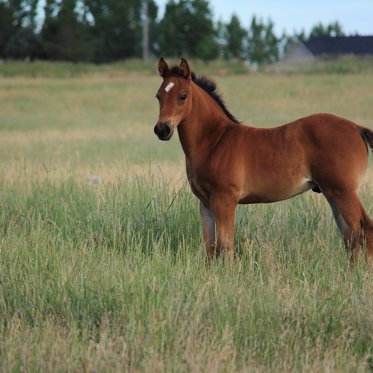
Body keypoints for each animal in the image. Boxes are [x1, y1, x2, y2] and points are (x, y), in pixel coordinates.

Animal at [152, 56, 372, 264]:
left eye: (183, 96)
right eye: (158, 96)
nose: (162, 129)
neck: (214, 141)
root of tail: (356, 128)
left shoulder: (224, 200)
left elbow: (225, 247)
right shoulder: (205, 203)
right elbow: (210, 248)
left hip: (344, 192)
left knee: (364, 229)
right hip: (332, 193)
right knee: (350, 234)